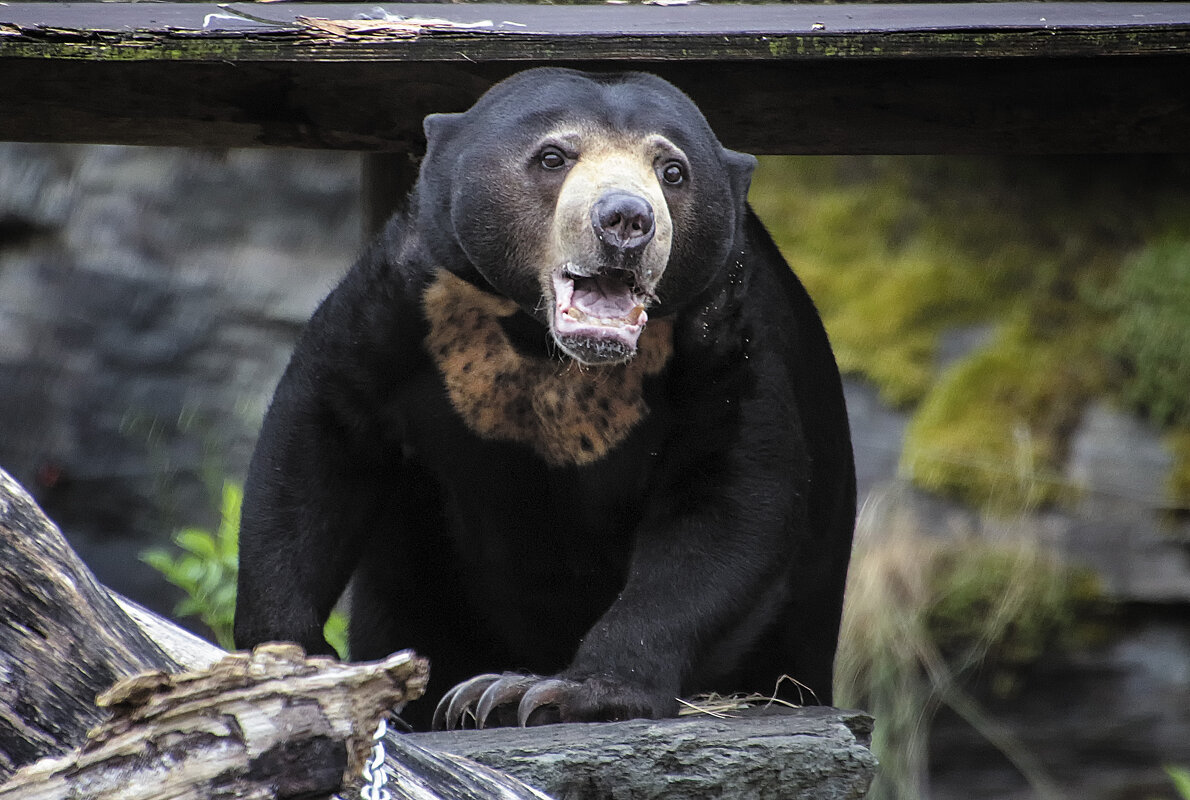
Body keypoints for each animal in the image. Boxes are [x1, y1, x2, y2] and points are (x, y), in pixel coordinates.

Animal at [232, 68, 856, 733]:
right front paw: (295, 666)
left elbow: (734, 496)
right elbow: (319, 441)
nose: (626, 220)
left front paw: (544, 693)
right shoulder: (412, 294)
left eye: (672, 170)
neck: (545, 345)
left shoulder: (729, 330)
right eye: (553, 157)